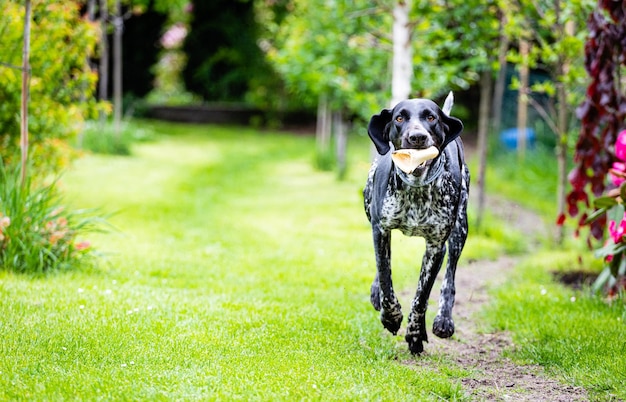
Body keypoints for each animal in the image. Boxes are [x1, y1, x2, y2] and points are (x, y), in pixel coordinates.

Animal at [360, 92, 468, 354]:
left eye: (431, 117)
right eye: (400, 118)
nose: (417, 137)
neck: (417, 189)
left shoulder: (436, 247)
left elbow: (422, 295)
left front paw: (416, 334)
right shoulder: (380, 230)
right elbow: (385, 276)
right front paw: (391, 317)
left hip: (460, 230)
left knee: (450, 277)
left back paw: (444, 319)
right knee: (382, 267)